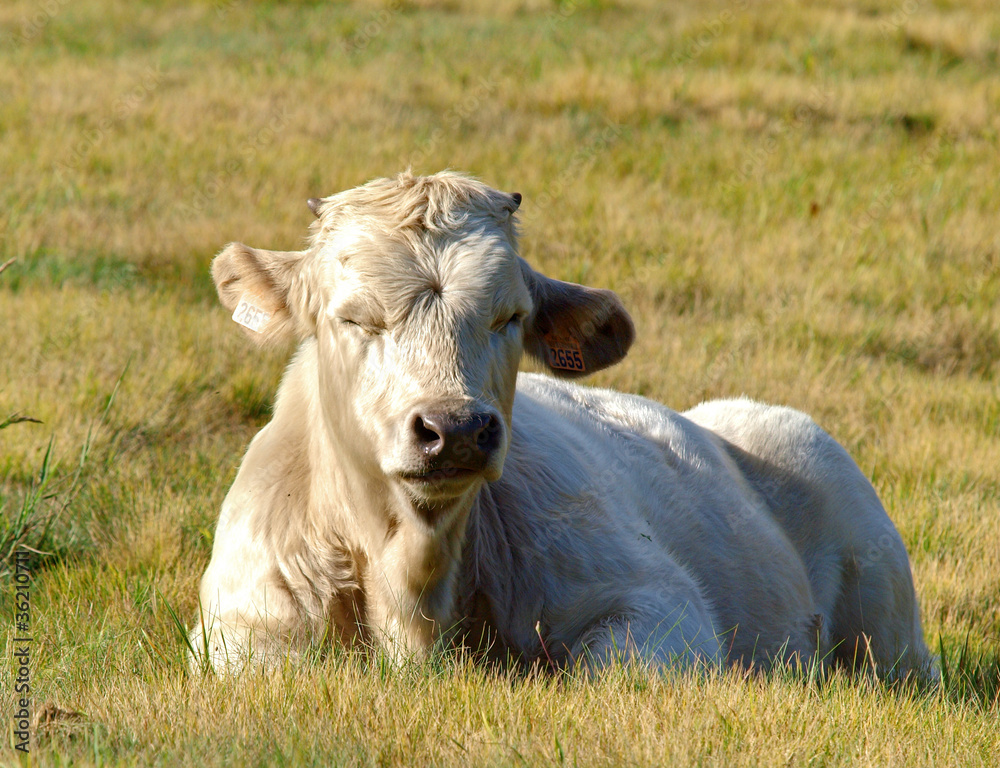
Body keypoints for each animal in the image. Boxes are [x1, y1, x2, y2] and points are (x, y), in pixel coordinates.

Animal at [190, 170, 933, 680]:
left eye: (510, 316)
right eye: (353, 317)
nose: (455, 428)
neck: (415, 582)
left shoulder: (658, 603)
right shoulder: (240, 634)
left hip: (892, 636)